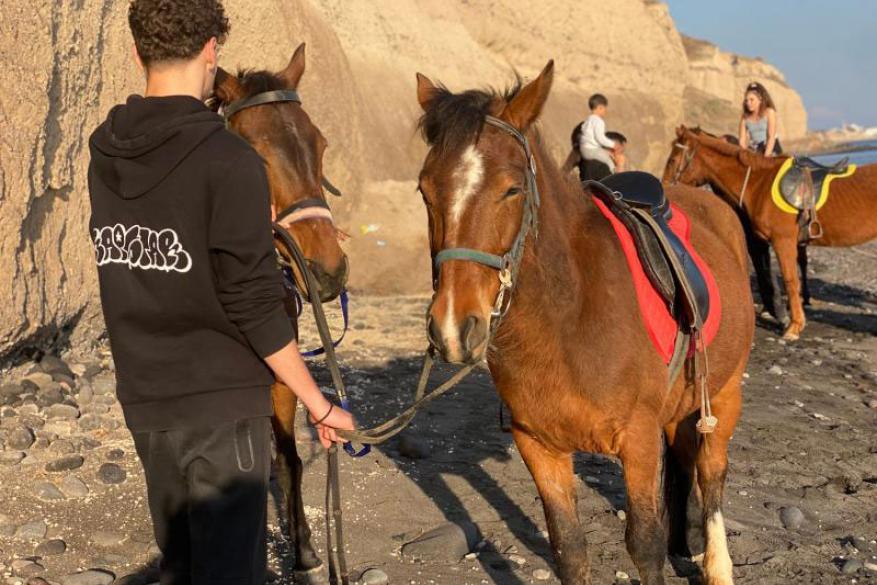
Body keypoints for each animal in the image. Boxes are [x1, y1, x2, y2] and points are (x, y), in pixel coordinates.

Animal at [415, 61, 754, 585]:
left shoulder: (637, 440)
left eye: (511, 188)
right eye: (425, 189)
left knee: (712, 475)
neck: (567, 319)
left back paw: (716, 563)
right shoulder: (539, 445)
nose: (453, 327)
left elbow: (645, 544)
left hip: (724, 393)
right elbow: (569, 548)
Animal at [663, 125, 877, 340]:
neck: (759, 183)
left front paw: (794, 326)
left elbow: (791, 281)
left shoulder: (783, 241)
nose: (664, 187)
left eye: (672, 159)